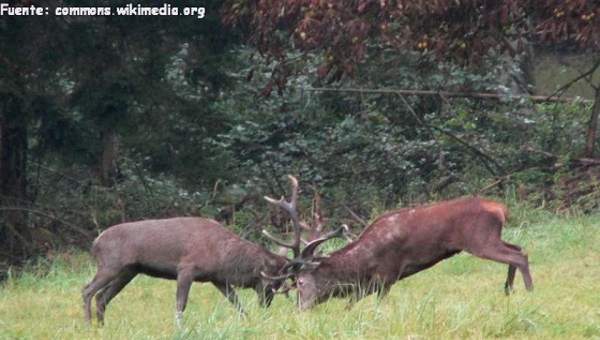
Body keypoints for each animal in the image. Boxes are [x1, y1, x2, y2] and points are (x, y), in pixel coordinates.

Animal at [82, 216, 290, 326]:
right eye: (273, 281)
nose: (266, 305)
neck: (222, 256)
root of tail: (95, 242)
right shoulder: (186, 268)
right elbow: (181, 304)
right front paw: (179, 329)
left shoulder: (217, 278)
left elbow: (236, 302)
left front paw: (248, 322)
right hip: (110, 265)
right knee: (87, 290)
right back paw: (88, 325)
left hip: (128, 271)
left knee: (102, 297)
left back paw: (101, 327)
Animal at [264, 175, 532, 310]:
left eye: (300, 282)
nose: (299, 309)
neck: (364, 263)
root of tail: (501, 209)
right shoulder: (368, 284)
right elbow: (351, 304)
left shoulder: (387, 274)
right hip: (491, 236)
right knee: (519, 248)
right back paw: (508, 290)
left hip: (479, 239)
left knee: (519, 255)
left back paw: (529, 292)